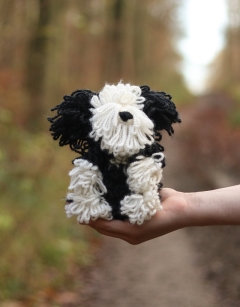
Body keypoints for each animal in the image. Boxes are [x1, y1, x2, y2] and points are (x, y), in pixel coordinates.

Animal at [48, 83, 180, 225]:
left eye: (137, 105)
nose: (125, 114)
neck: (120, 154)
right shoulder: (93, 160)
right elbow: (86, 174)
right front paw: (88, 207)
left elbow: (143, 174)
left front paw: (139, 207)